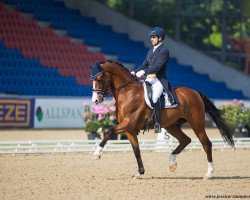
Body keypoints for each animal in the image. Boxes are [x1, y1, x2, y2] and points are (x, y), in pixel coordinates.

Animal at [90, 59, 234, 180]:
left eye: (100, 79)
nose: (95, 100)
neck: (128, 92)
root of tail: (195, 92)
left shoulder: (128, 123)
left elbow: (108, 132)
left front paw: (97, 153)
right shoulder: (129, 129)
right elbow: (136, 150)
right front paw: (139, 172)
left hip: (197, 123)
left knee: (206, 144)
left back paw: (208, 173)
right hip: (171, 126)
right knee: (185, 140)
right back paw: (171, 162)